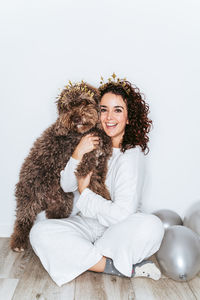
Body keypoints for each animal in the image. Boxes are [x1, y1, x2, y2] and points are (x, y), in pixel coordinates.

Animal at [10, 81, 112, 252]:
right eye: (68, 106)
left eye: (84, 102)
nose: (75, 117)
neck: (87, 133)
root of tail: (44, 200)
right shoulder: (85, 163)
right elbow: (93, 182)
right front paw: (104, 198)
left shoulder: (101, 162)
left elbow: (99, 180)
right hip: (30, 197)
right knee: (23, 219)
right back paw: (18, 242)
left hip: (63, 202)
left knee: (53, 216)